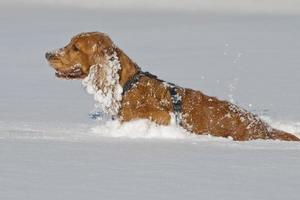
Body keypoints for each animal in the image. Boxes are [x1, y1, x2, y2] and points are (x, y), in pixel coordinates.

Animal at [45, 31, 300, 141]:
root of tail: (265, 128)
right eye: (69, 43)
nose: (47, 53)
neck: (126, 85)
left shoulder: (160, 115)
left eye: (75, 47)